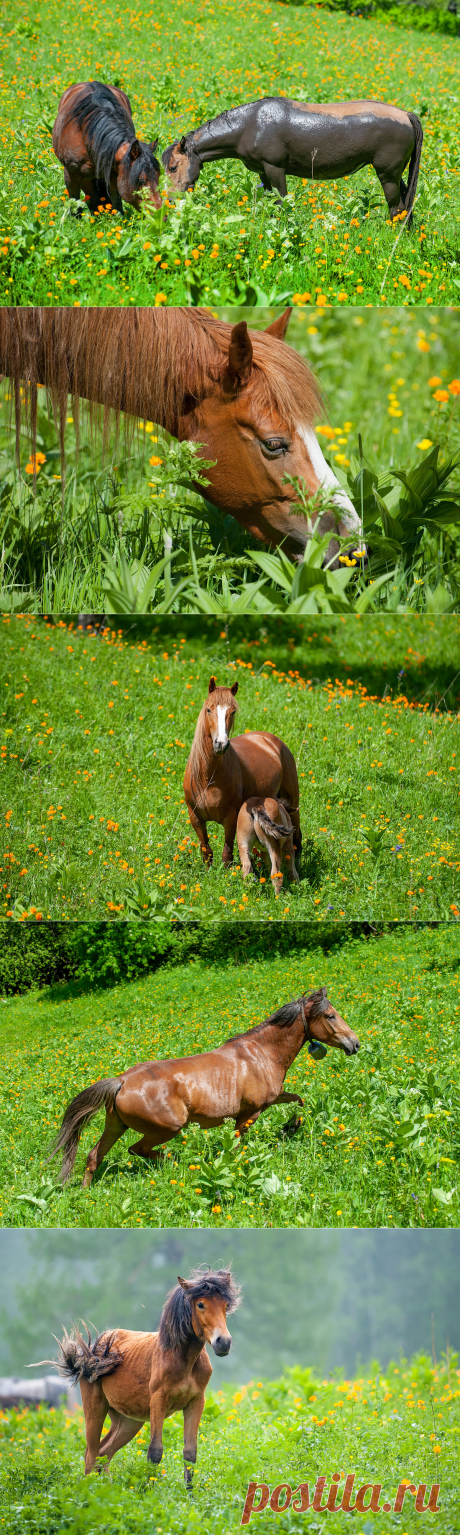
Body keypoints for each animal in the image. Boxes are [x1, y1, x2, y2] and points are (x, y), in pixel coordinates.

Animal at [35, 1268, 240, 1487]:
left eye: (225, 1305)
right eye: (200, 1304)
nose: (223, 1342)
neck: (184, 1361)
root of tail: (92, 1353)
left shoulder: (195, 1403)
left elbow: (190, 1454)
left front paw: (189, 1494)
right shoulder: (158, 1401)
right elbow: (155, 1451)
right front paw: (149, 1491)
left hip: (128, 1422)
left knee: (103, 1453)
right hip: (95, 1409)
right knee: (91, 1455)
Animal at [51, 986, 360, 1188]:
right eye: (331, 1016)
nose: (355, 1044)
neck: (261, 1053)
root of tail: (121, 1081)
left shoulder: (271, 1099)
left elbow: (299, 1100)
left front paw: (292, 1126)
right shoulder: (250, 1113)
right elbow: (237, 1143)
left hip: (115, 1126)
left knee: (94, 1156)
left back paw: (85, 1193)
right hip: (167, 1128)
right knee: (138, 1150)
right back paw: (176, 1161)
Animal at [52, 81, 162, 214]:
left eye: (158, 176)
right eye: (141, 180)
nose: (161, 214)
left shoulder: (114, 176)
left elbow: (116, 203)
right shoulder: (70, 175)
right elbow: (75, 204)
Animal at [163, 96, 423, 221]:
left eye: (173, 167)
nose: (170, 200)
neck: (249, 124)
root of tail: (405, 115)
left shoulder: (275, 169)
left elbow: (282, 204)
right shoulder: (263, 173)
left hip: (387, 175)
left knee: (397, 210)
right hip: (396, 175)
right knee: (406, 208)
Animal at [183, 676, 301, 867]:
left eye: (232, 712)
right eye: (209, 709)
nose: (221, 744)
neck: (208, 778)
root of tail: (270, 740)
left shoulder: (231, 818)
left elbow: (227, 854)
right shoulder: (196, 818)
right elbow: (206, 851)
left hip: (292, 800)